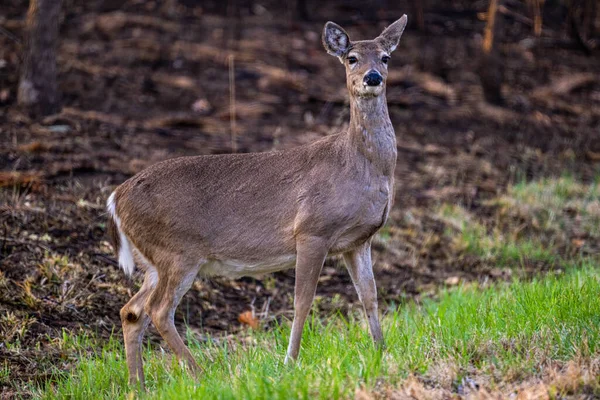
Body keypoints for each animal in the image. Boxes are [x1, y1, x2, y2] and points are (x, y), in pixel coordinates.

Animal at [106, 15, 408, 388]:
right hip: (177, 251)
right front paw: (290, 362)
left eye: (385, 57)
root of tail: (116, 198)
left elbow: (370, 295)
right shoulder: (312, 230)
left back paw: (138, 385)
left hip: (153, 261)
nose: (372, 77)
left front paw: (382, 352)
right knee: (158, 310)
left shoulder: (358, 241)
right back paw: (200, 374)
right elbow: (302, 301)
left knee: (132, 311)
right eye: (351, 58)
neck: (360, 165)